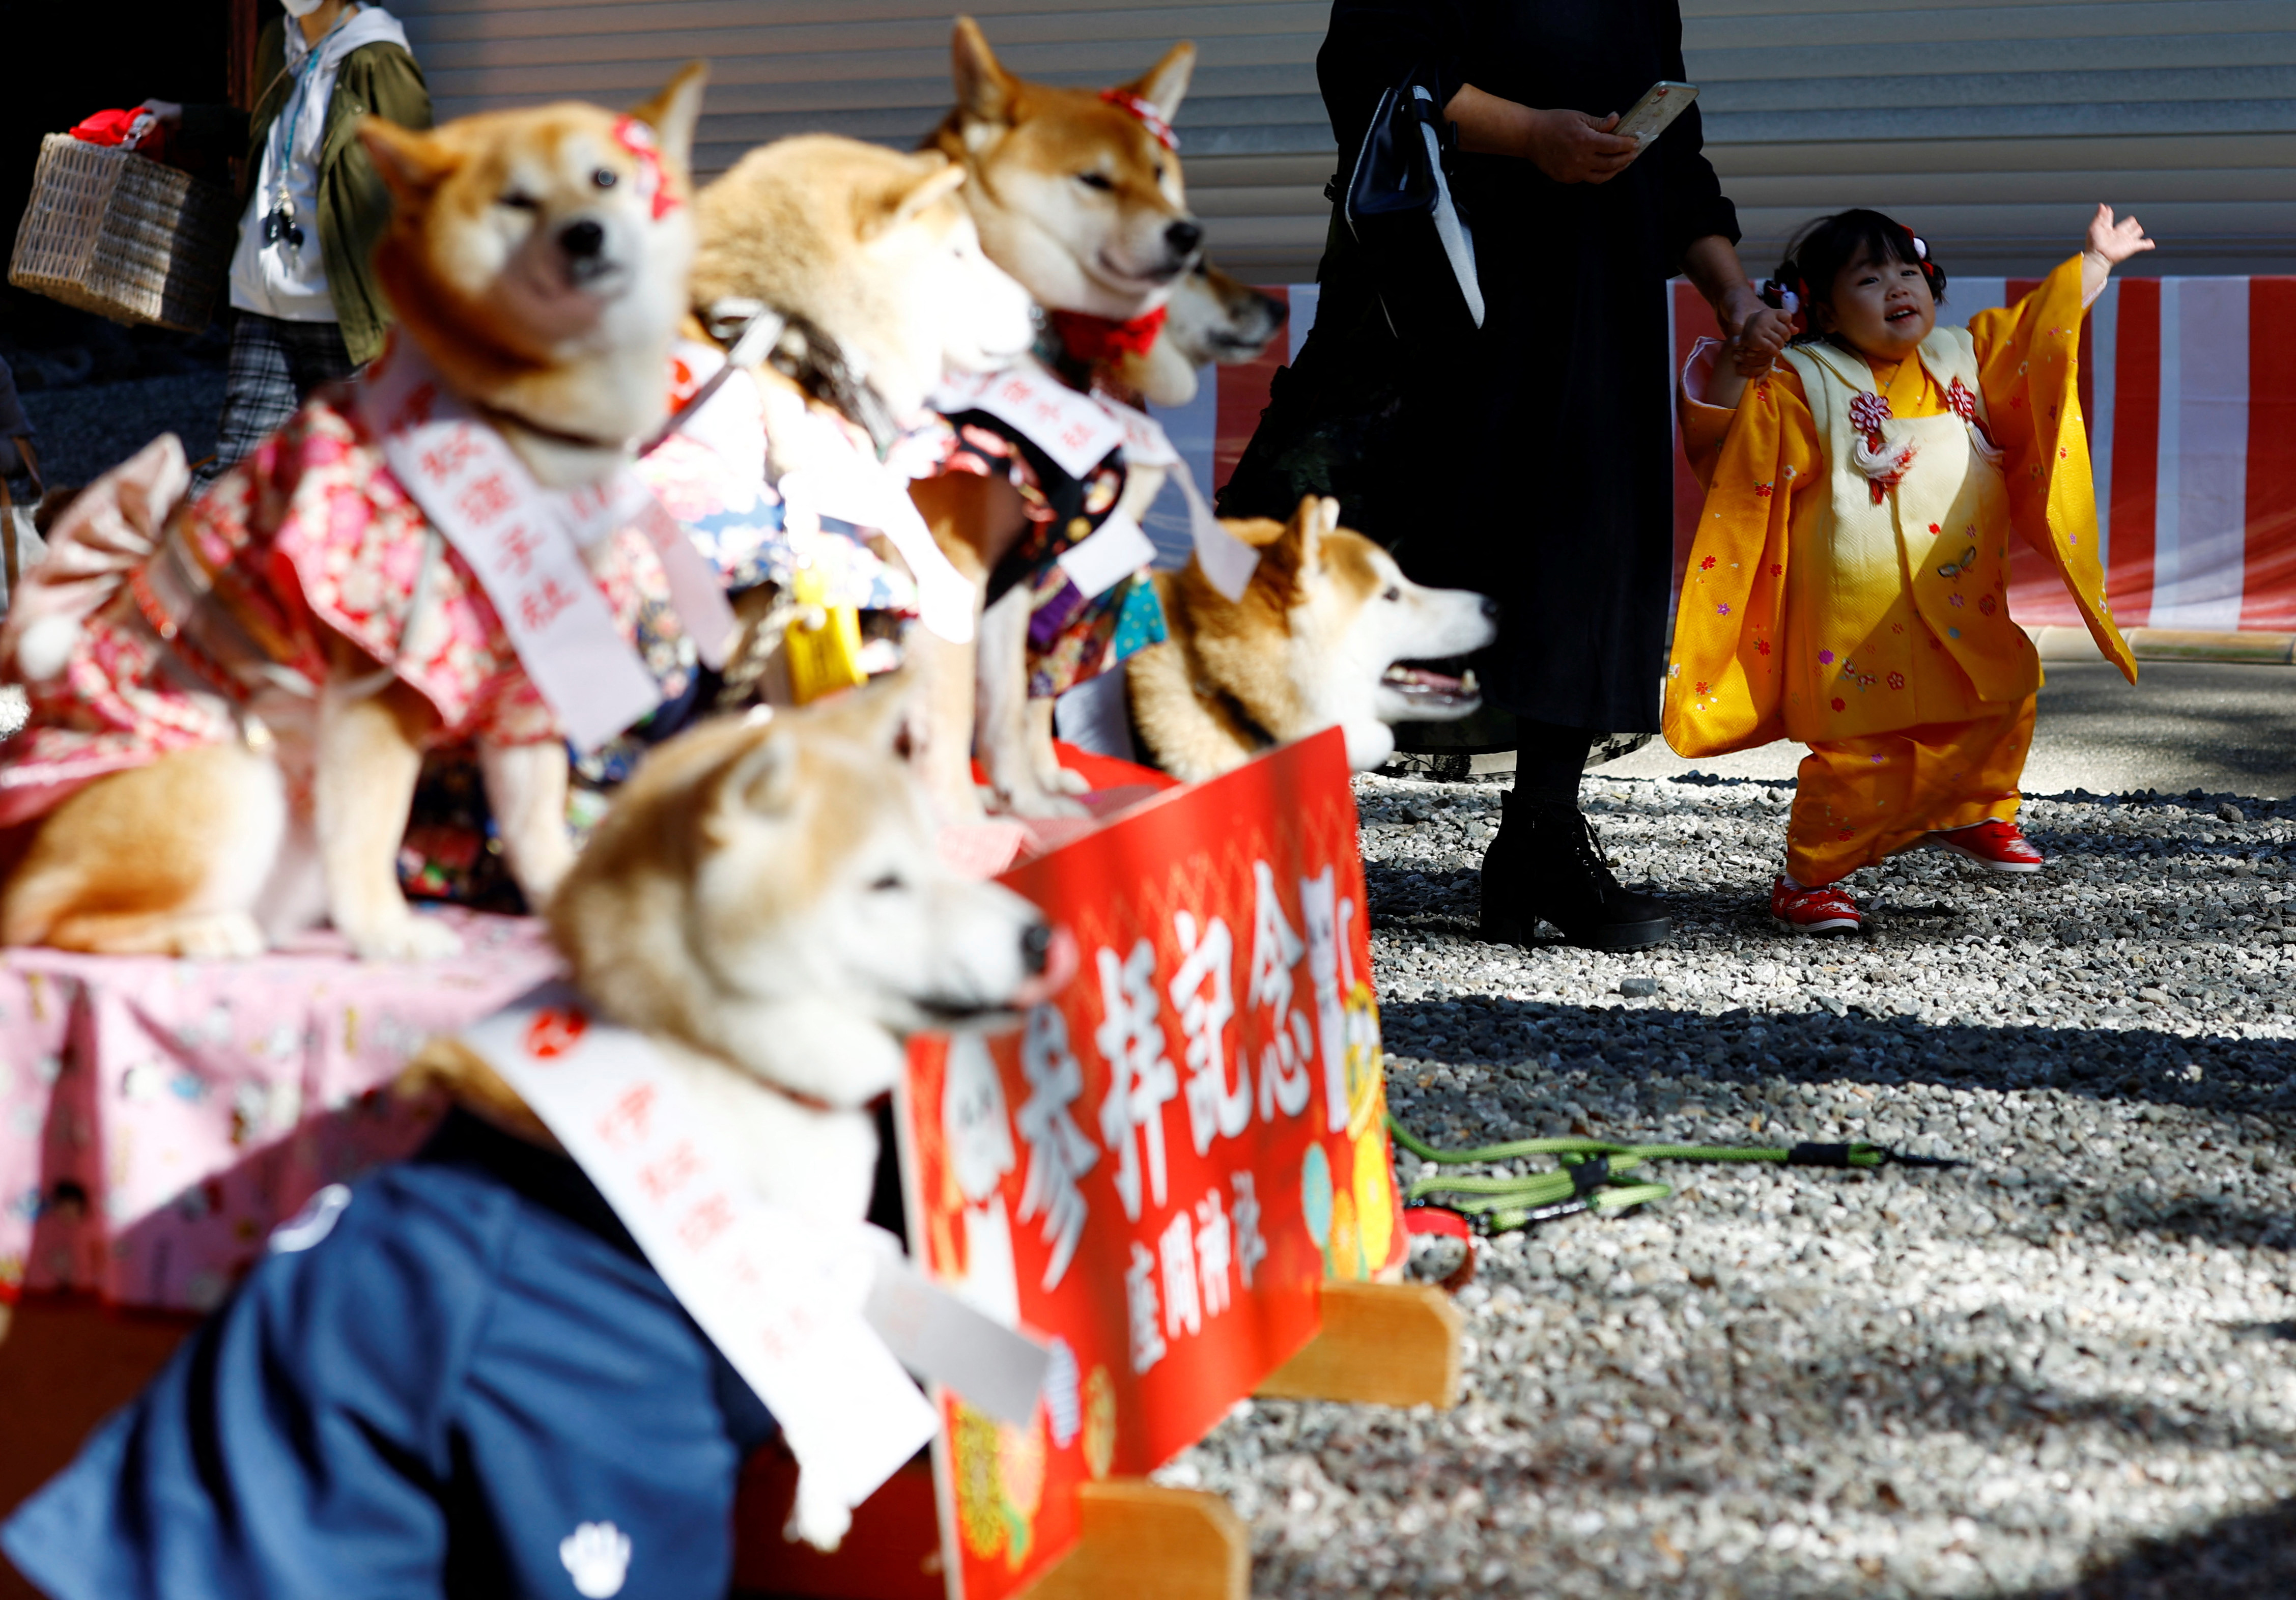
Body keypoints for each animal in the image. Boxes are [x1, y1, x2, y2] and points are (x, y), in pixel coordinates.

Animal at [0, 68, 707, 955]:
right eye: (515, 200)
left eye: (607, 178)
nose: (586, 234)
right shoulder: (377, 683)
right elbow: (375, 827)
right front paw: (390, 937)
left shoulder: (531, 686)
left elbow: (538, 827)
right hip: (233, 777)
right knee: (49, 918)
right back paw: (210, 933)